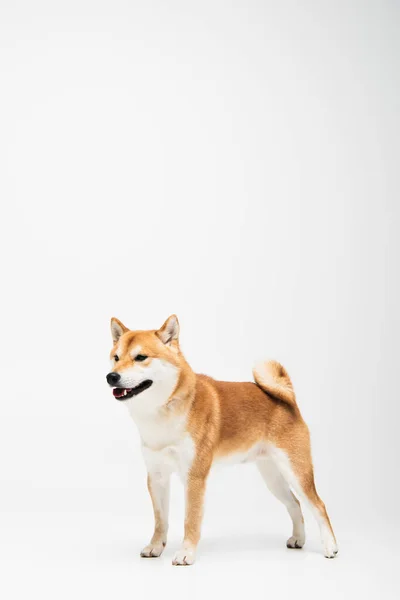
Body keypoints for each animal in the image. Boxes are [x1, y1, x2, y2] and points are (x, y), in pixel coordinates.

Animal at [106, 316, 338, 564]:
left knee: (318, 505)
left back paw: (330, 546)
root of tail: (289, 400)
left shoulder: (194, 477)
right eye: (116, 358)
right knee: (295, 504)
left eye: (141, 357)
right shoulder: (157, 476)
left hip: (296, 471)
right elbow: (160, 521)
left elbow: (190, 520)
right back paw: (298, 539)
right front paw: (155, 547)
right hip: (273, 477)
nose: (111, 377)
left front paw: (186, 553)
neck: (162, 412)